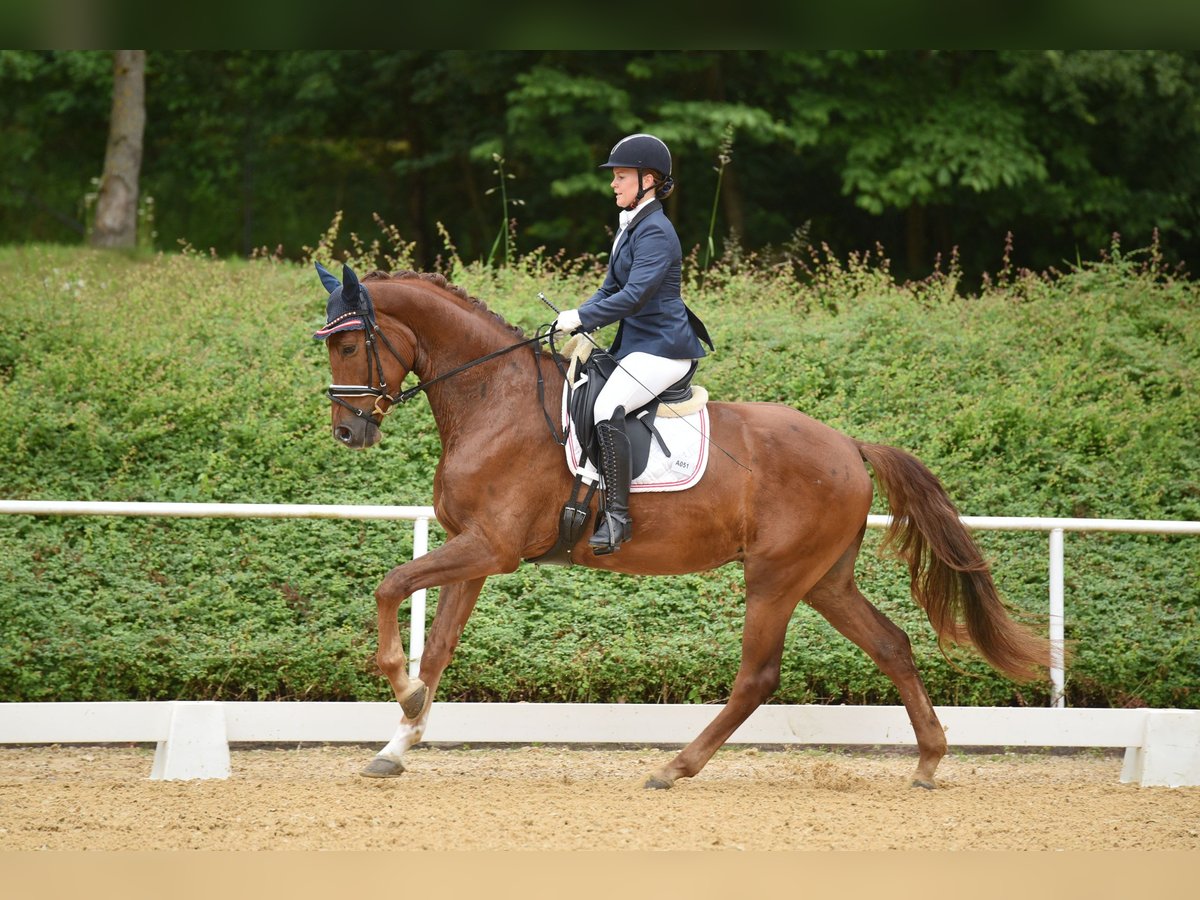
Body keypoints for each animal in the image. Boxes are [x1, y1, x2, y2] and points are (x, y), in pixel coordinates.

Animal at [316, 266, 1051, 787]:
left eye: (351, 343)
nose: (349, 432)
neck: (494, 397)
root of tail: (849, 444)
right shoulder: (474, 550)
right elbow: (438, 647)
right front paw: (399, 740)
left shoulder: (490, 549)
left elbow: (389, 586)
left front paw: (403, 694)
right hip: (824, 580)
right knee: (892, 645)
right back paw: (928, 760)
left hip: (776, 577)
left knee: (758, 676)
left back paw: (675, 767)